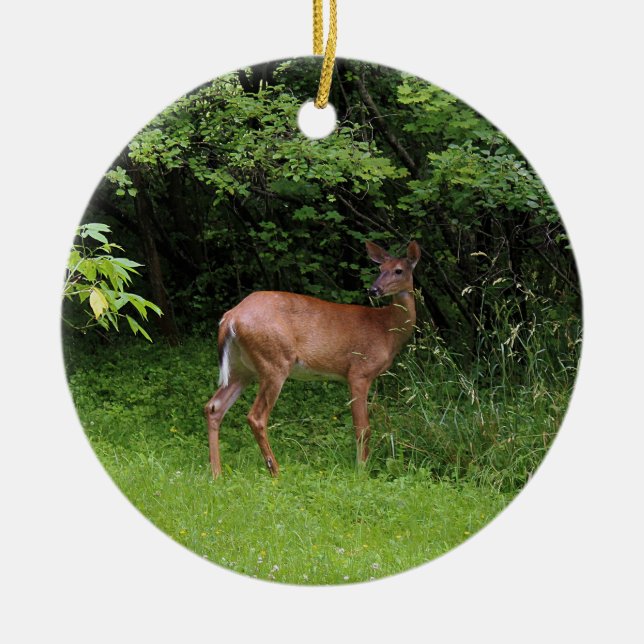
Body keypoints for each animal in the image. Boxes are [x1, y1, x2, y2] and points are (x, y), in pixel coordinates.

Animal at [203, 239, 421, 478]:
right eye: (380, 269)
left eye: (398, 270)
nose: (373, 289)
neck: (387, 330)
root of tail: (230, 318)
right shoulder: (359, 371)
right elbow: (363, 427)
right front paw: (361, 470)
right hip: (274, 361)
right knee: (256, 416)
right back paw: (276, 472)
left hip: (242, 368)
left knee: (213, 407)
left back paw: (217, 474)